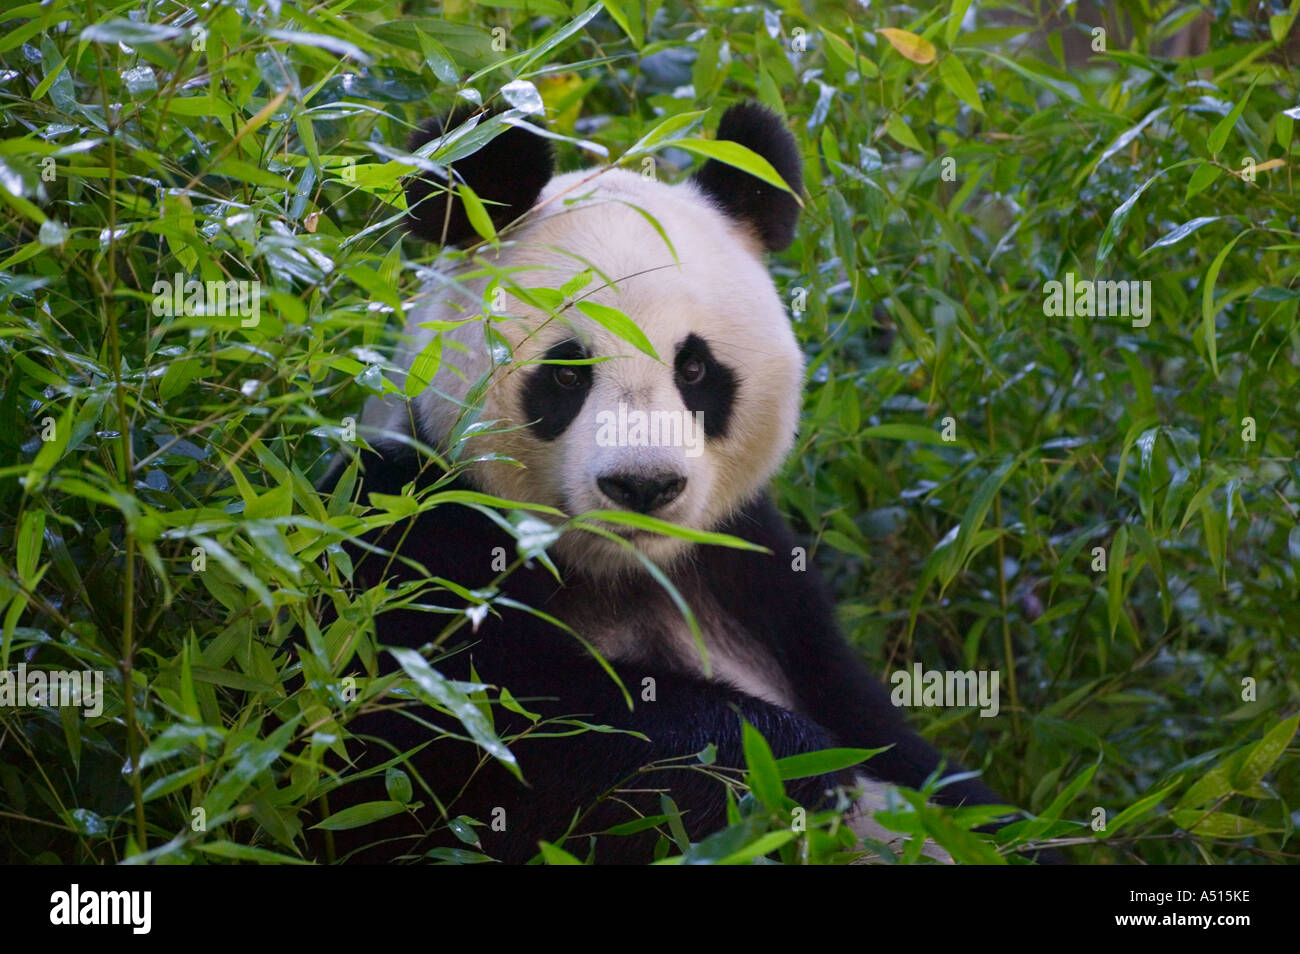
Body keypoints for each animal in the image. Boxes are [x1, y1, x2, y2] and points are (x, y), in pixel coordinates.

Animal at [319, 102, 1008, 868]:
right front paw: (787, 764)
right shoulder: (411, 527)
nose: (643, 485)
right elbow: (456, 742)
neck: (620, 566)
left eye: (695, 369)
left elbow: (901, 750)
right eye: (567, 373)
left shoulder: (755, 573)